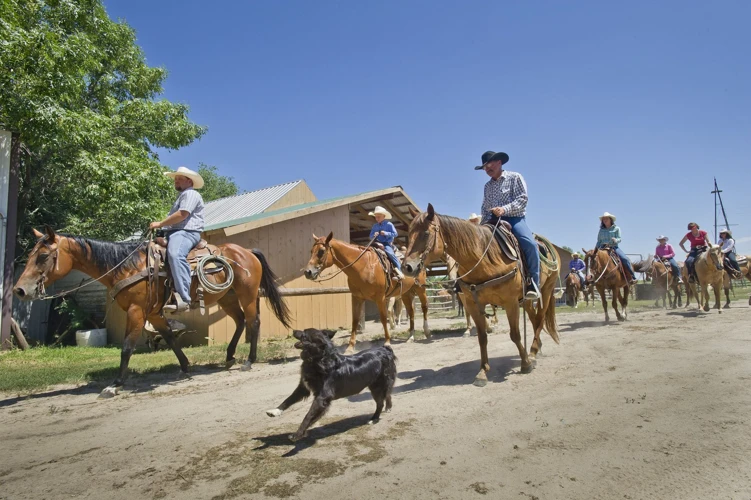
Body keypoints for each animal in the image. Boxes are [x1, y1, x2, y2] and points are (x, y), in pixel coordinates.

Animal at [15, 228, 290, 398]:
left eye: (42, 256)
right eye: (30, 255)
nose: (20, 290)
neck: (127, 266)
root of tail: (247, 252)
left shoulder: (136, 312)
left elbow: (126, 347)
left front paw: (115, 385)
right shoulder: (155, 314)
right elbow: (169, 338)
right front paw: (185, 367)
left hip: (247, 295)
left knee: (253, 322)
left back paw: (248, 361)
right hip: (227, 298)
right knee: (240, 321)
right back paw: (230, 357)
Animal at [266, 328, 396, 442]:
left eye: (304, 334)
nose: (293, 330)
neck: (319, 360)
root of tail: (385, 350)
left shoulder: (322, 398)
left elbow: (308, 416)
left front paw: (297, 434)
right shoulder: (303, 388)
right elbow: (288, 400)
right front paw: (275, 411)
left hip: (378, 387)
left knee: (380, 402)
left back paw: (374, 419)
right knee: (388, 395)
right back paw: (388, 407)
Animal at [406, 203, 560, 386]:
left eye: (426, 233)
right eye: (408, 233)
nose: (407, 267)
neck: (486, 260)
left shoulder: (510, 303)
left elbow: (515, 334)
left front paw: (525, 364)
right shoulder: (473, 304)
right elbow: (482, 338)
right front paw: (482, 372)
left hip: (547, 289)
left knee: (541, 319)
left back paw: (533, 353)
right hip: (526, 300)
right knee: (535, 319)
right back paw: (535, 351)